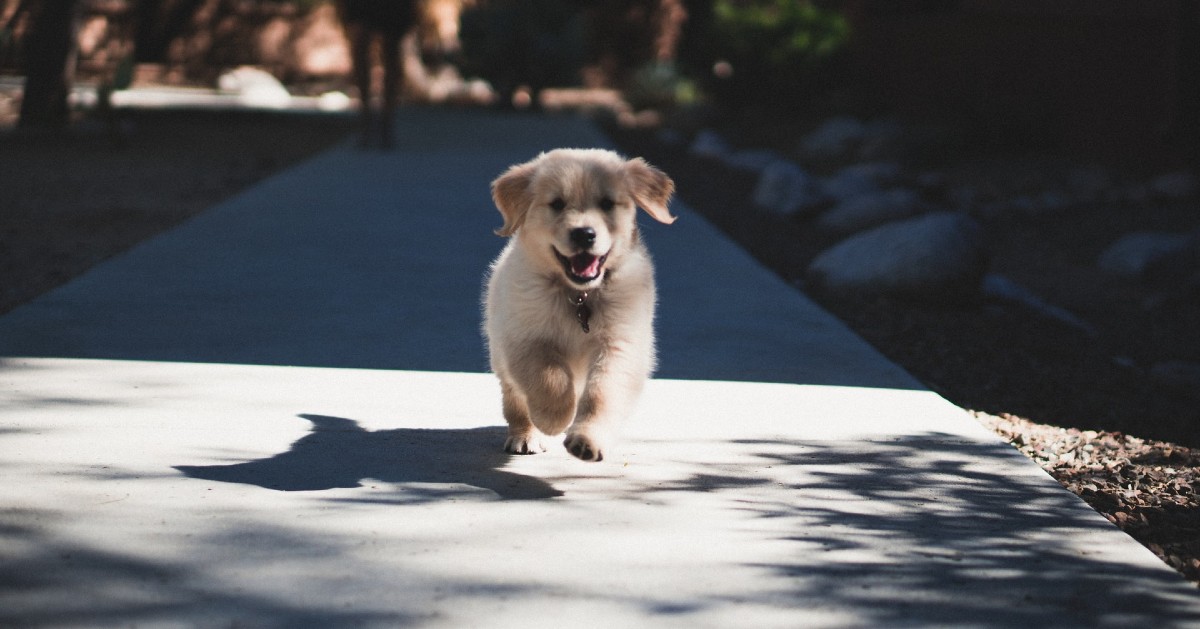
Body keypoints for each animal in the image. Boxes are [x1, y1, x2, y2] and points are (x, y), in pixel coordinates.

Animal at [484, 148, 676, 460]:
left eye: (607, 203)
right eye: (557, 204)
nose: (584, 234)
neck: (578, 295)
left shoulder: (620, 344)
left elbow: (602, 394)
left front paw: (587, 440)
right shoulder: (524, 338)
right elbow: (549, 377)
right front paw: (554, 418)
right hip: (500, 353)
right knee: (515, 400)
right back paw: (525, 435)